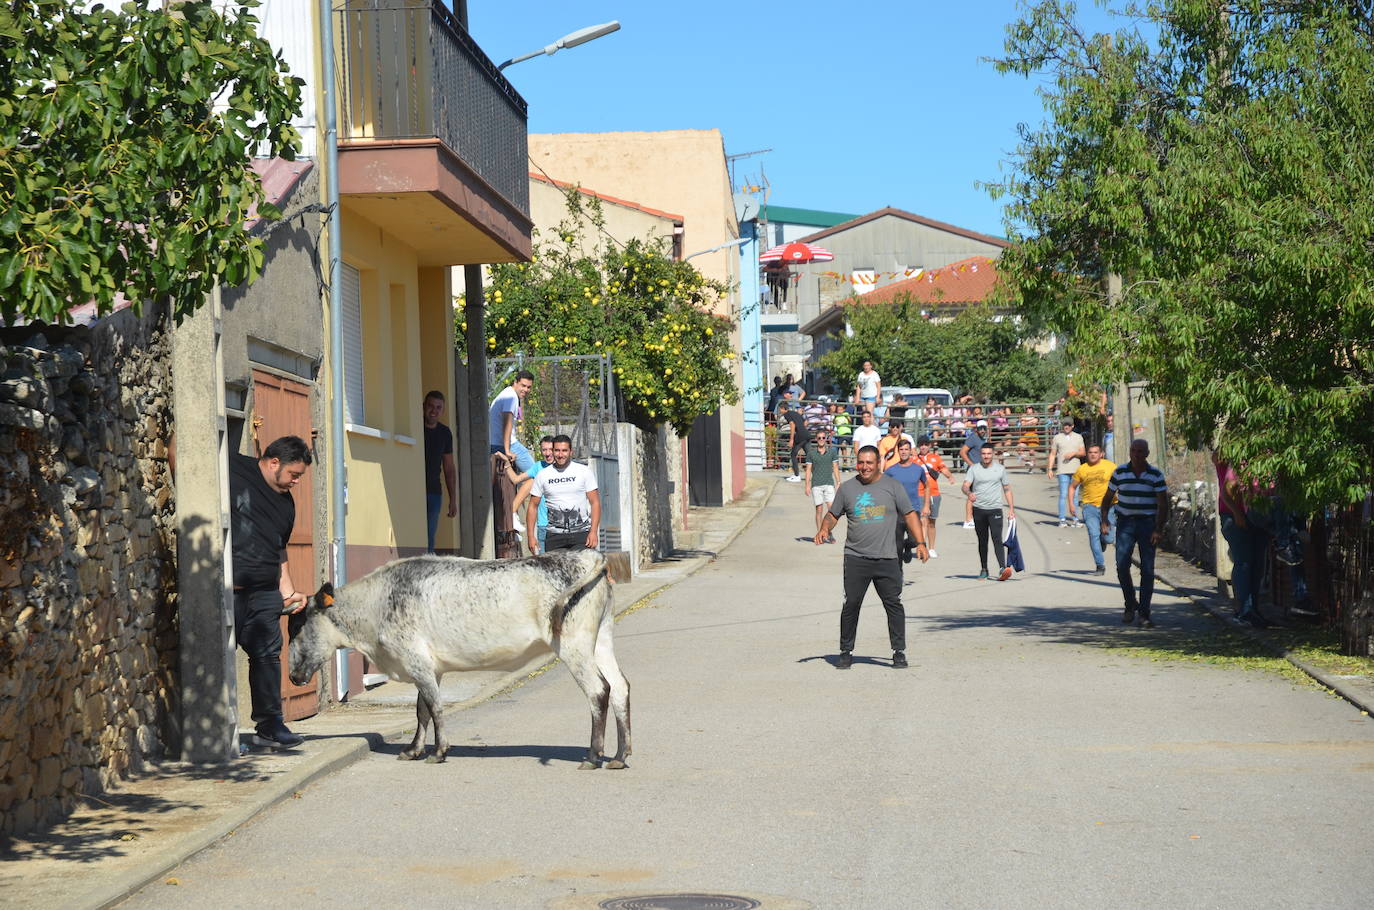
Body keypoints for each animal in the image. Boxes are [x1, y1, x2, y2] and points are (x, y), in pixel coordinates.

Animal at [294, 549, 632, 769]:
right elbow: (421, 710)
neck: (378, 602)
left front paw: (438, 751)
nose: (293, 676)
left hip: (574, 646)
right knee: (620, 686)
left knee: (599, 691)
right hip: (601, 639)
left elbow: (434, 707)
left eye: (297, 625)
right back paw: (619, 756)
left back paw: (593, 757)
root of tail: (587, 556)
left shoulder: (415, 660)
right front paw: (413, 750)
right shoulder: (429, 668)